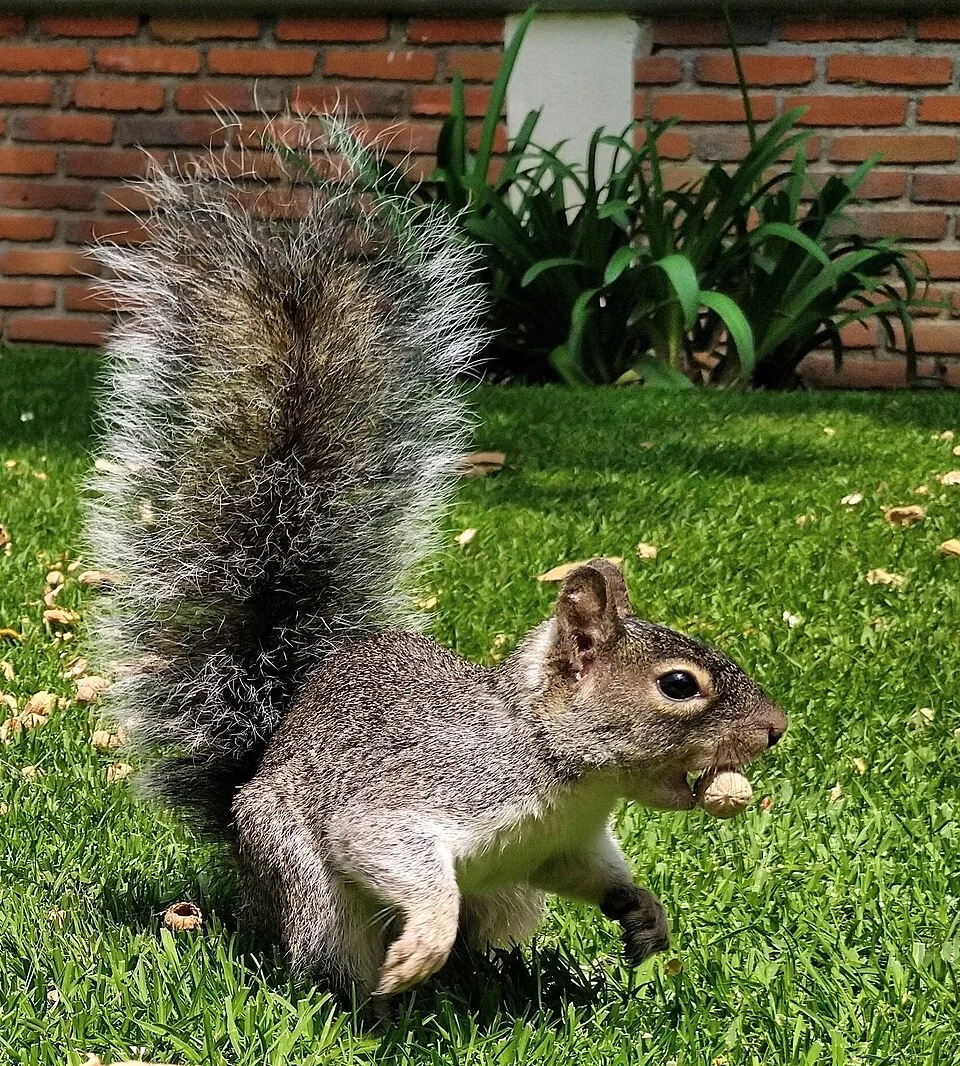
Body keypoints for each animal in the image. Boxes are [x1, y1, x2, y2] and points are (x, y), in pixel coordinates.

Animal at [87, 147, 787, 1001]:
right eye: (679, 685)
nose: (776, 729)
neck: (556, 767)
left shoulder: (563, 848)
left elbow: (596, 875)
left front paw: (645, 915)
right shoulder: (428, 790)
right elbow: (390, 849)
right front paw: (423, 939)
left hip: (507, 895)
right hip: (308, 886)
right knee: (336, 951)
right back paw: (380, 1001)